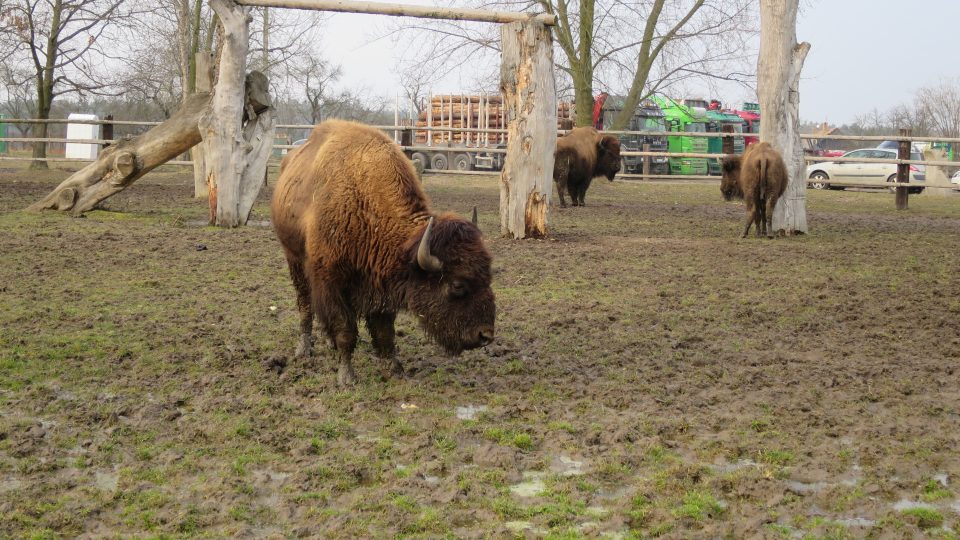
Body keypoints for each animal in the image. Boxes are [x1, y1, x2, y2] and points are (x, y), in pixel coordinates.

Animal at [270, 120, 496, 386]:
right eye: (457, 285)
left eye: (488, 276)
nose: (485, 335)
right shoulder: (333, 282)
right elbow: (345, 330)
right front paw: (347, 377)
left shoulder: (380, 286)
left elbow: (384, 333)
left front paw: (395, 370)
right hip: (294, 259)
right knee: (305, 305)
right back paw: (304, 349)